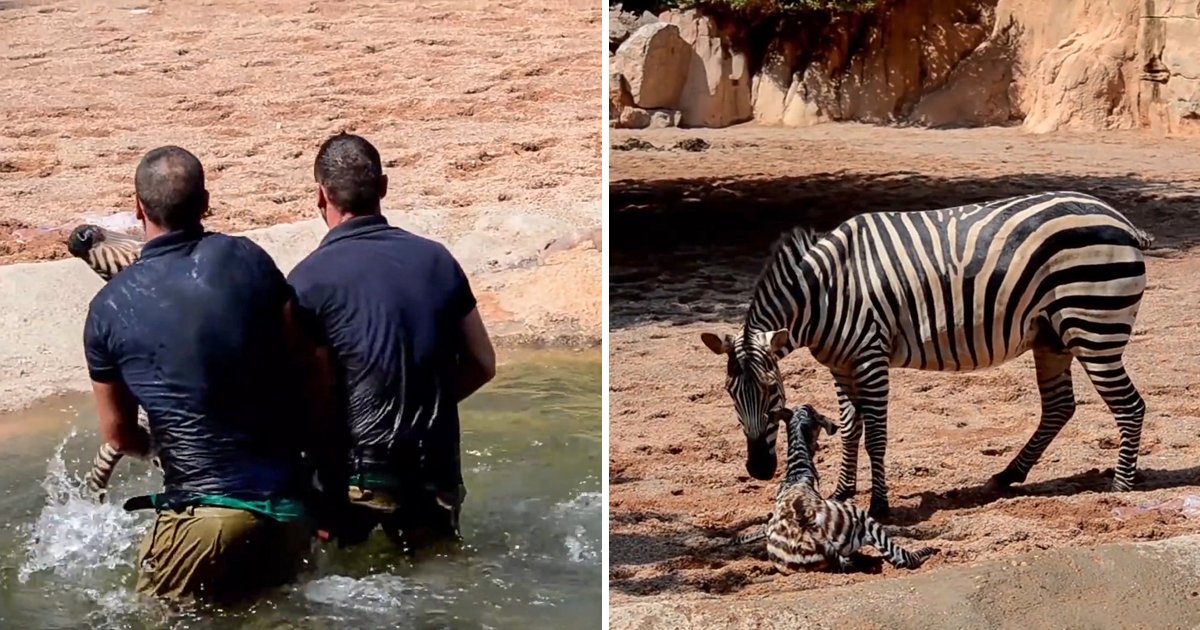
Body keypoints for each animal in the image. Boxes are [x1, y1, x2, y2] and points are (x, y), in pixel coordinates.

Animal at [700, 189, 1152, 518]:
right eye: (729, 394)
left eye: (772, 390)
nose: (759, 469)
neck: (824, 293)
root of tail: (1118, 217)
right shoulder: (841, 366)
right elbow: (849, 430)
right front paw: (843, 492)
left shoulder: (869, 357)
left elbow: (876, 437)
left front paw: (879, 506)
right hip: (1051, 337)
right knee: (1060, 406)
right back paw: (1009, 475)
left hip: (1094, 327)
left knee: (1129, 405)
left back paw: (1121, 486)